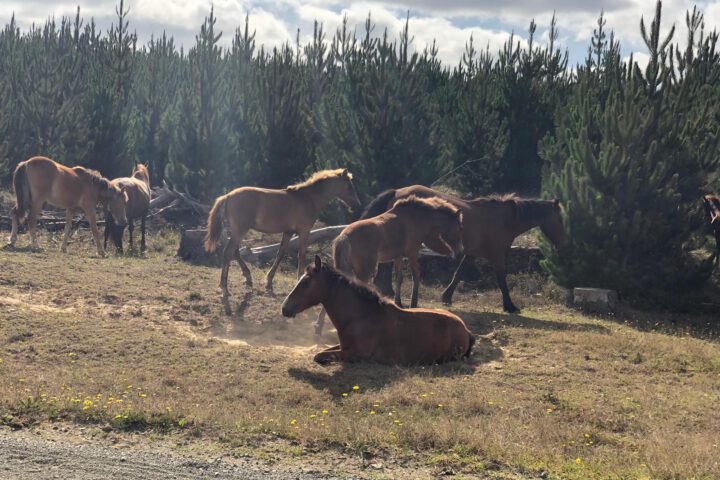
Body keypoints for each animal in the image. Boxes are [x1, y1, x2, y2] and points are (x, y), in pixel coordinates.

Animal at [282, 256, 478, 366]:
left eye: (306, 281)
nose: (285, 308)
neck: (361, 316)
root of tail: (466, 329)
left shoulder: (356, 353)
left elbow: (320, 355)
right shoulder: (344, 347)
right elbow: (322, 352)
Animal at [316, 195, 466, 334]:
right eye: (460, 227)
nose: (460, 251)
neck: (418, 218)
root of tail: (345, 235)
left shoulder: (398, 257)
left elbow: (399, 278)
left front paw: (398, 302)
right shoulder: (412, 253)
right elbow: (416, 275)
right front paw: (414, 303)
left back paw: (319, 327)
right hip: (365, 271)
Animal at [362, 184, 564, 312]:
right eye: (560, 219)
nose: (563, 243)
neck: (504, 219)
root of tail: (397, 191)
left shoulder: (471, 254)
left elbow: (458, 273)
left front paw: (446, 297)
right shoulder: (498, 256)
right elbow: (502, 281)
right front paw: (510, 306)